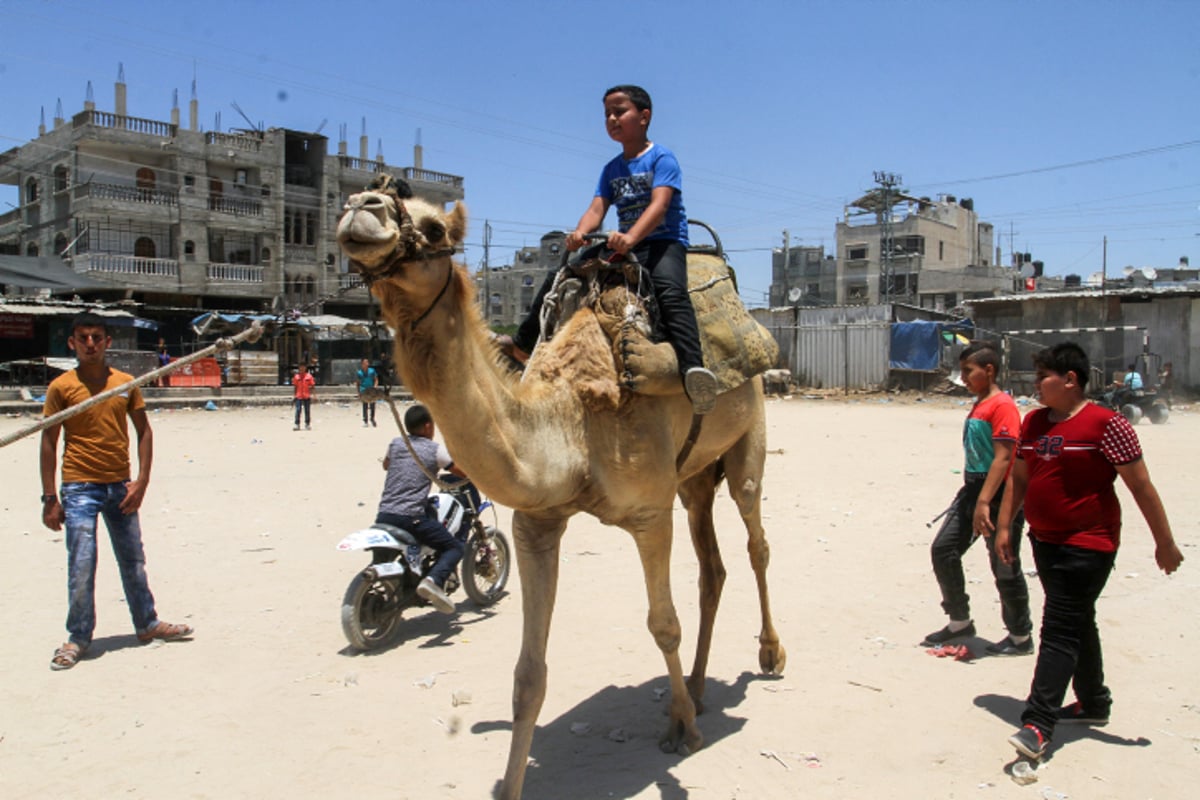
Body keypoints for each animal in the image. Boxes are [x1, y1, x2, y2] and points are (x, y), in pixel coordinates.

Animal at [338, 178, 787, 796]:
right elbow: (529, 673)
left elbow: (662, 625)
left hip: (751, 426)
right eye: (362, 199)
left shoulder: (649, 512)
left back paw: (767, 657)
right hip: (694, 474)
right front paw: (509, 784)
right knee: (712, 567)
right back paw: (696, 689)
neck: (571, 421)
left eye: (433, 228)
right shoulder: (537, 521)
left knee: (755, 538)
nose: (362, 207)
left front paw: (682, 733)